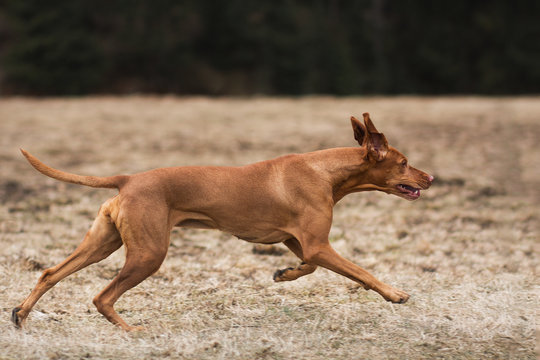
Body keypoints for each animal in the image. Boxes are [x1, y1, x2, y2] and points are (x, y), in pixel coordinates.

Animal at [11, 114, 434, 330]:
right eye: (403, 163)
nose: (430, 178)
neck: (326, 171)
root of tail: (128, 179)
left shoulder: (298, 241)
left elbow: (309, 266)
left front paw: (285, 274)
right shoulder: (317, 243)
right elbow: (360, 271)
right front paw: (395, 293)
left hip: (102, 243)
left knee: (50, 272)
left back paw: (20, 315)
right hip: (148, 254)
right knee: (102, 296)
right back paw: (132, 331)